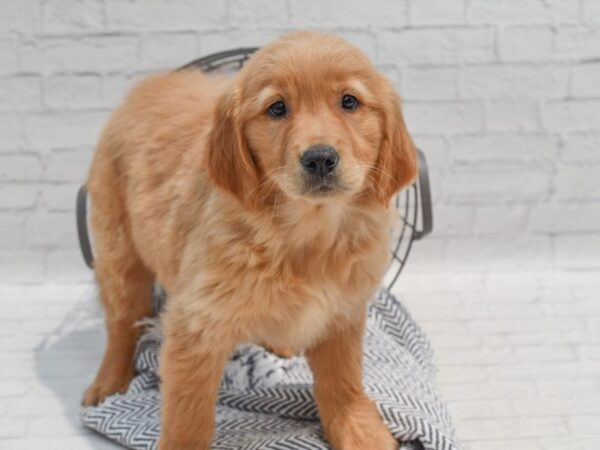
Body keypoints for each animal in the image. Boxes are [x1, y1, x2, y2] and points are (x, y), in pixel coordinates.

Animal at [83, 29, 418, 448]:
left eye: (349, 102)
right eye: (277, 109)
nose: (320, 158)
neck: (307, 233)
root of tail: (151, 83)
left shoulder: (344, 310)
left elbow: (342, 381)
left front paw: (360, 430)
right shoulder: (196, 323)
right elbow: (188, 415)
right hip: (119, 250)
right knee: (122, 322)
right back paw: (109, 380)